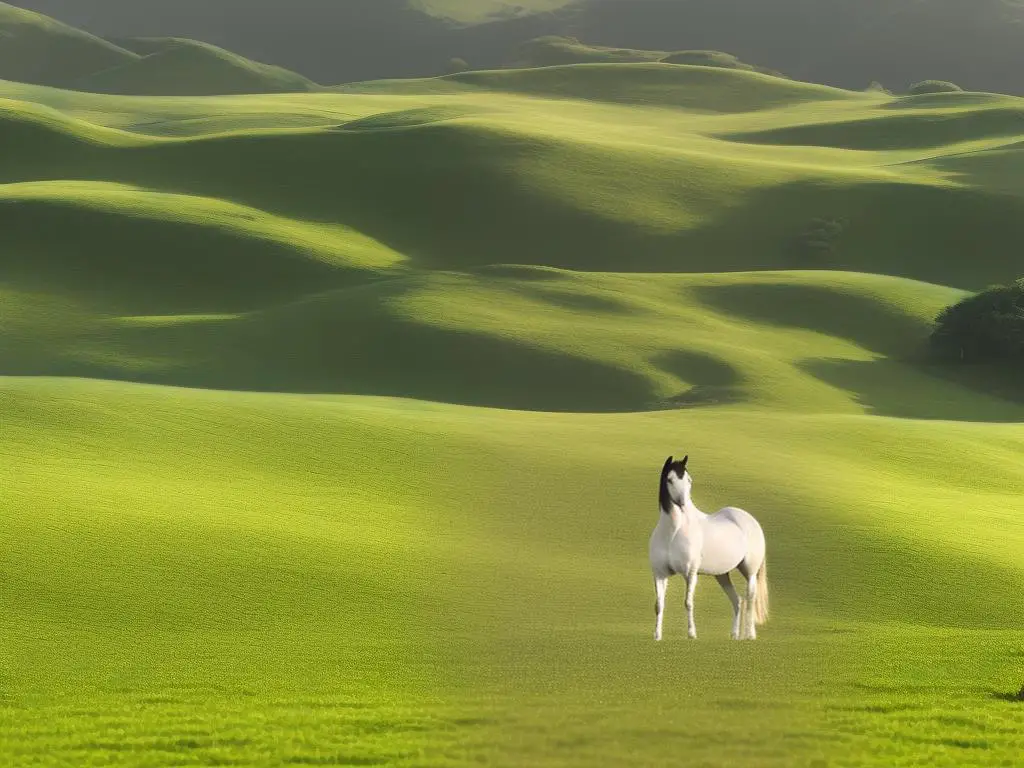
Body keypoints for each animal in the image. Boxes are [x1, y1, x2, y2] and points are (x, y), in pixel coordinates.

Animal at [647, 456, 770, 643]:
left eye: (689, 480)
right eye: (670, 480)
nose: (683, 504)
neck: (673, 532)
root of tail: (749, 519)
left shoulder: (690, 574)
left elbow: (688, 602)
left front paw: (692, 634)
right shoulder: (660, 575)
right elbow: (659, 605)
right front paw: (657, 636)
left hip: (749, 573)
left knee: (750, 599)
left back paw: (750, 635)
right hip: (722, 575)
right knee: (737, 601)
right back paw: (734, 635)